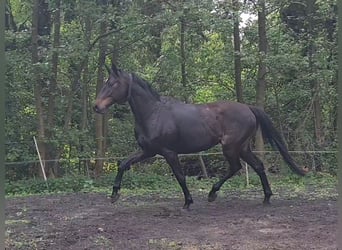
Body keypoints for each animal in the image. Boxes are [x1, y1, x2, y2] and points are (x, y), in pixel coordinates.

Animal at [93, 63, 304, 209]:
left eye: (113, 83)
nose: (96, 106)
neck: (153, 114)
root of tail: (249, 108)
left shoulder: (169, 152)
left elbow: (180, 176)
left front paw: (188, 202)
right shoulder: (148, 151)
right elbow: (123, 164)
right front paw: (114, 195)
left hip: (230, 147)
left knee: (235, 167)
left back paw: (212, 193)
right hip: (243, 147)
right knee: (258, 166)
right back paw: (266, 197)